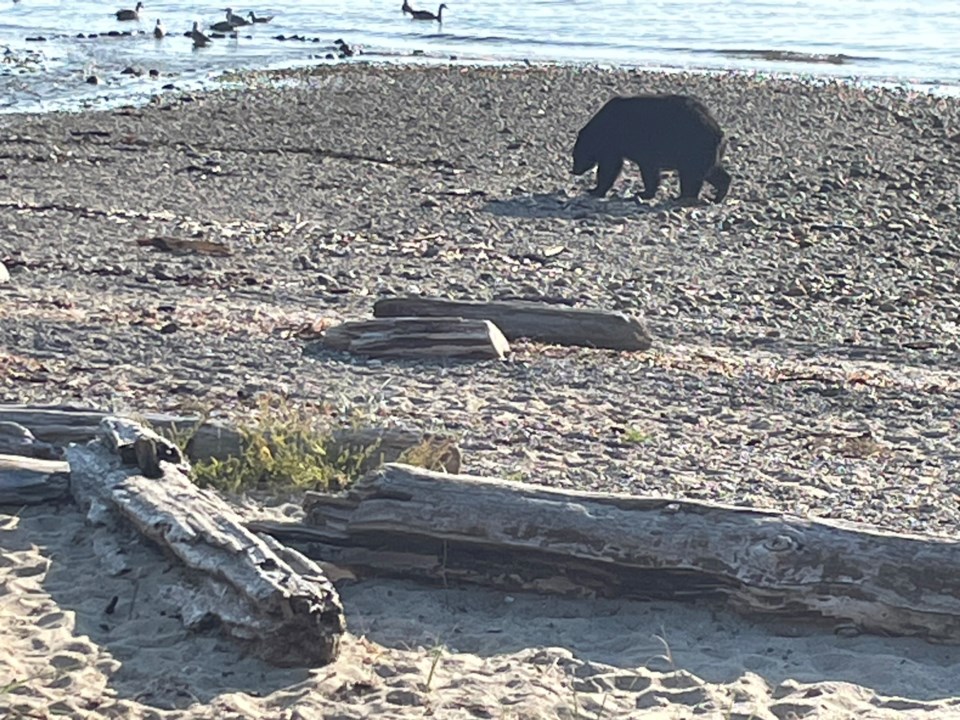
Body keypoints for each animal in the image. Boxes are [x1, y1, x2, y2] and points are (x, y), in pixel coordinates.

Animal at [572, 94, 732, 204]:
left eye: (575, 155)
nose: (574, 170)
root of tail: (718, 131)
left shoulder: (621, 143)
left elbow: (611, 167)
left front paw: (595, 190)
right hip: (706, 151)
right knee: (712, 172)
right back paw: (717, 195)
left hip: (694, 147)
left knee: (691, 174)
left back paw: (683, 196)